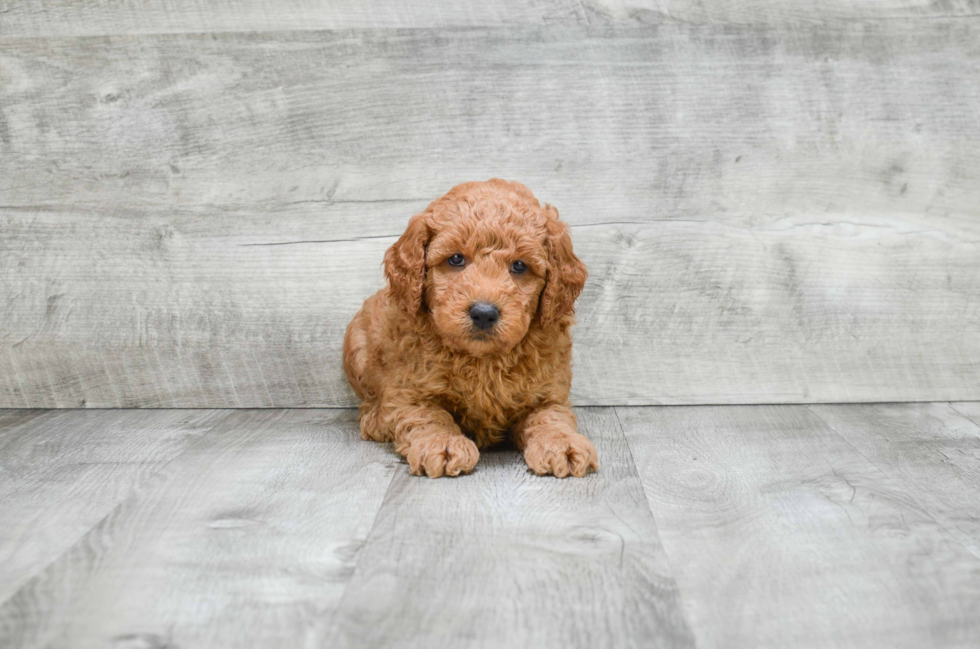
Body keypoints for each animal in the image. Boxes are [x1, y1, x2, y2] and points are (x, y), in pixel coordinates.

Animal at [342, 177, 596, 476]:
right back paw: (376, 419)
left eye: (519, 266)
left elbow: (551, 416)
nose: (483, 313)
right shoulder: (408, 391)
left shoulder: (548, 392)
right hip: (356, 347)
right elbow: (427, 416)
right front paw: (443, 444)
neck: (482, 360)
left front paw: (562, 444)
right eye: (455, 259)